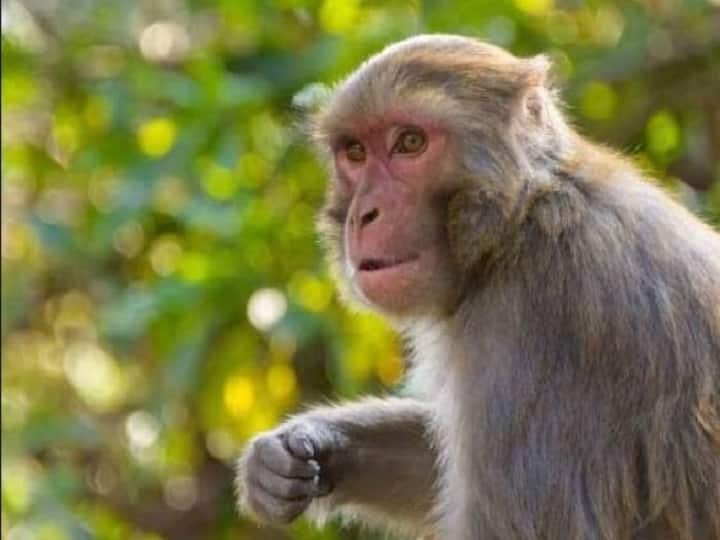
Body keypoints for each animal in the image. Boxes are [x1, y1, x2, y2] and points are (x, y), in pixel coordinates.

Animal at [235, 35, 720, 539]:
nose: (364, 214)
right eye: (355, 152)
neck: (522, 224)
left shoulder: (540, 325)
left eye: (410, 143)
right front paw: (291, 453)